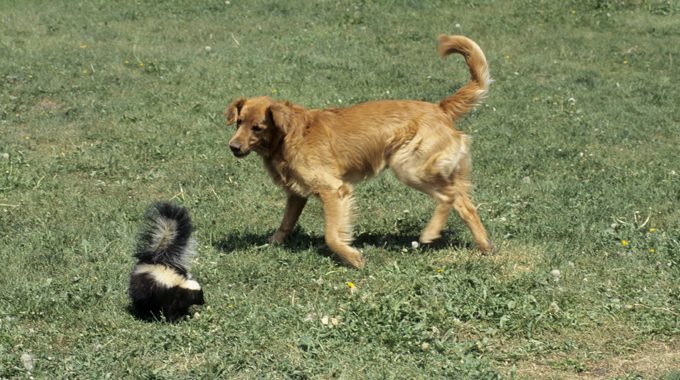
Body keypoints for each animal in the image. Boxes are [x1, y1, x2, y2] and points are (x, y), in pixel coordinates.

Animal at [226, 35, 496, 268]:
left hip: (409, 167)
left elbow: (331, 235)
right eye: (239, 122)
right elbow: (285, 224)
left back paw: (430, 233)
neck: (288, 136)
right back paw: (485, 247)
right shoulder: (296, 193)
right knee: (465, 204)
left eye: (257, 127)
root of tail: (440, 108)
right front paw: (270, 245)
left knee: (448, 197)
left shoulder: (333, 190)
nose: (233, 147)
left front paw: (352, 258)